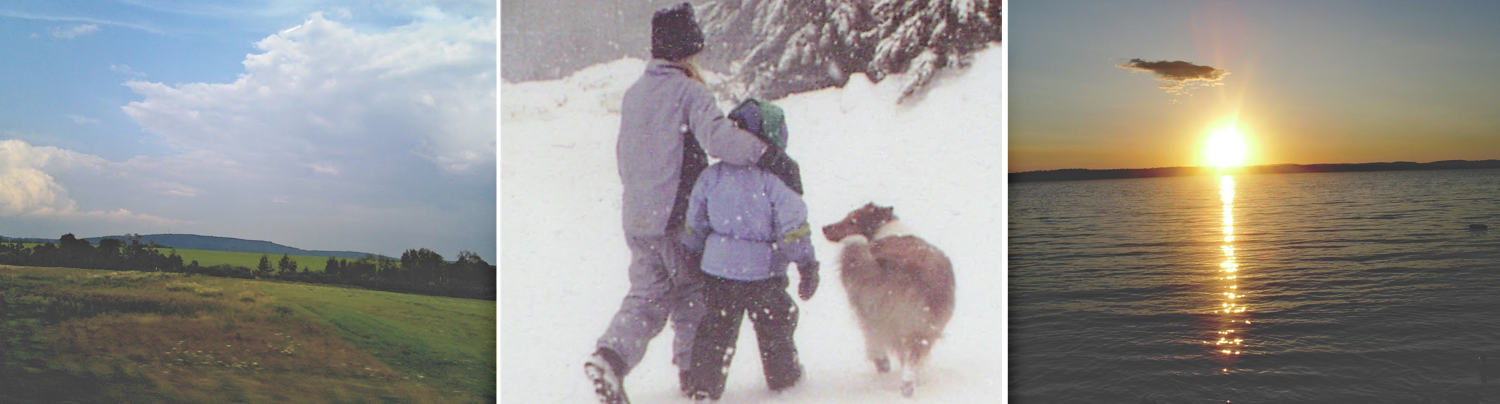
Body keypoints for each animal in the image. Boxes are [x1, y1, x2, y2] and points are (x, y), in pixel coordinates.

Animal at [828, 202, 954, 393]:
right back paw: (908, 385)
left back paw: (892, 372)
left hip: (879, 317)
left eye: (851, 220)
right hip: (921, 325)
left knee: (881, 344)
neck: (886, 229)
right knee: (912, 357)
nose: (824, 228)